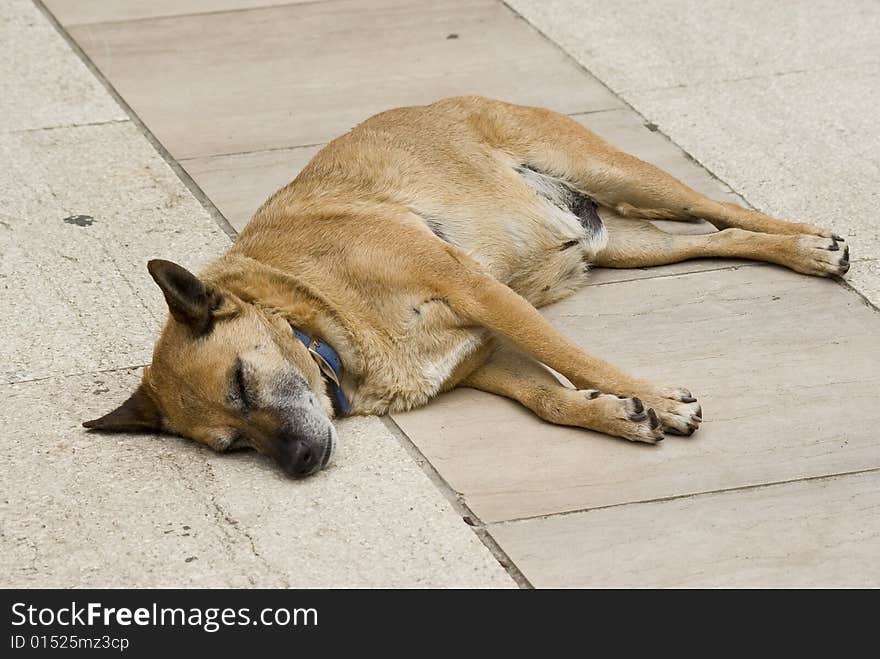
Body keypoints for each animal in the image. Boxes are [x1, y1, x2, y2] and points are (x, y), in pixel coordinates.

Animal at [82, 95, 844, 476]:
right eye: (231, 446)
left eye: (241, 383)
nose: (298, 463)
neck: (314, 313)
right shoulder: (482, 358)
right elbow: (548, 398)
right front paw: (615, 412)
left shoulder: (475, 289)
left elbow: (570, 357)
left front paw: (651, 395)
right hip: (631, 248)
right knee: (714, 238)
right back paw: (795, 251)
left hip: (614, 171)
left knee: (721, 206)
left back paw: (809, 244)